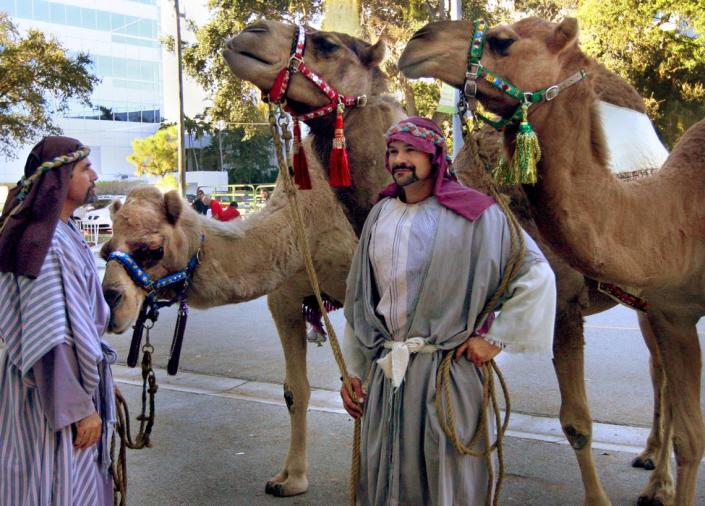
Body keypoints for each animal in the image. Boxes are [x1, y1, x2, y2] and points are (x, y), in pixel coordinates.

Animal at [396, 15, 704, 506]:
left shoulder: (565, 307)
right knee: (659, 373)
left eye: (503, 40)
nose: (417, 41)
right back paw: (649, 459)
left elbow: (576, 422)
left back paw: (658, 483)